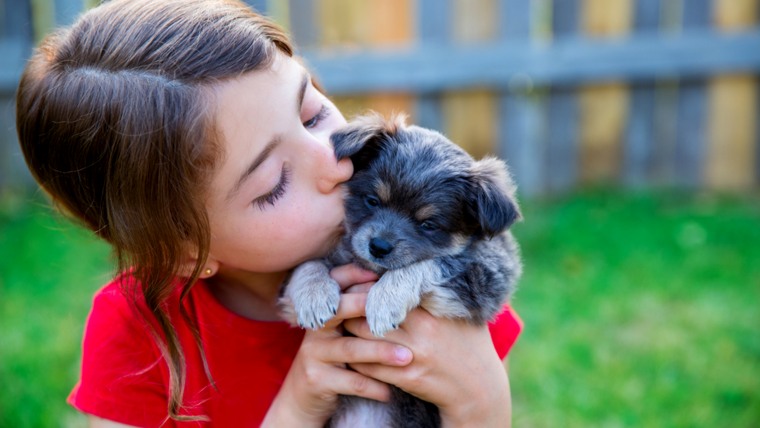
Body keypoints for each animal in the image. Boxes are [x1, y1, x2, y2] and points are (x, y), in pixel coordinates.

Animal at [280, 113, 524, 428]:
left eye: (428, 224)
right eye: (372, 200)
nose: (379, 246)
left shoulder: (488, 277)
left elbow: (428, 263)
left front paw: (385, 301)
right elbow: (308, 264)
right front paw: (314, 297)